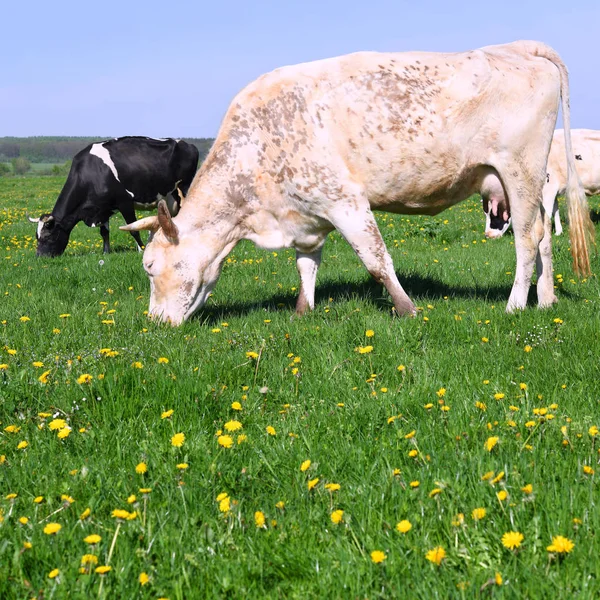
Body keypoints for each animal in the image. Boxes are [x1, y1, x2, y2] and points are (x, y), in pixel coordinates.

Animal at [29, 137, 199, 256]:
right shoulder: (103, 208)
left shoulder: (125, 202)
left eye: (48, 237)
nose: (40, 257)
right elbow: (104, 233)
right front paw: (106, 252)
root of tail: (189, 144)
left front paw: (142, 250)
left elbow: (133, 229)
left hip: (186, 187)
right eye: (37, 237)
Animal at [123, 40, 596, 326]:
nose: (153, 322)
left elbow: (376, 260)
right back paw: (546, 300)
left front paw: (407, 309)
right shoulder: (307, 214)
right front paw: (302, 311)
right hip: (530, 182)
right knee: (544, 237)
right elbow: (306, 265)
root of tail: (515, 47)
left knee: (527, 238)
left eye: (151, 267)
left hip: (520, 171)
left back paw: (515, 304)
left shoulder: (344, 201)